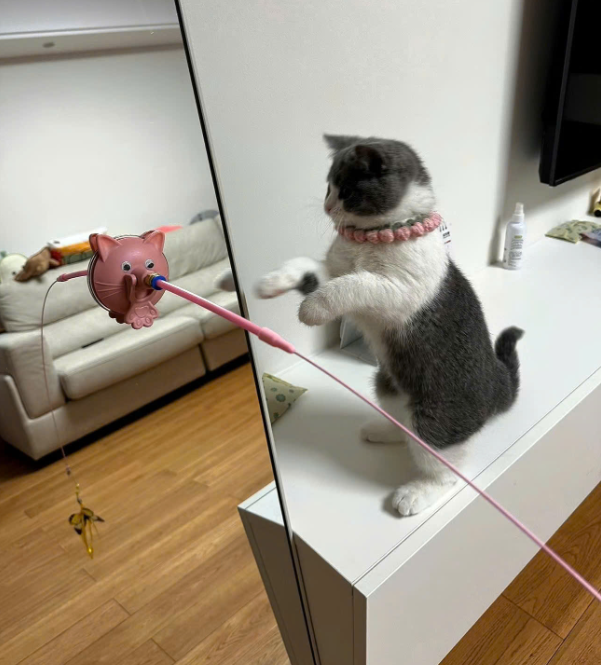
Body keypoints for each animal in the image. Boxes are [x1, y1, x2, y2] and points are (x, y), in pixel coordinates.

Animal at [257, 134, 523, 516]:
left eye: (346, 189)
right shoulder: (332, 270)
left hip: (437, 413)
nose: (327, 205)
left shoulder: (397, 291)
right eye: (327, 186)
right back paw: (386, 430)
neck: (376, 236)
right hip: (387, 383)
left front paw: (313, 308)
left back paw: (418, 492)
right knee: (405, 423)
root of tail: (496, 382)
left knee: (444, 464)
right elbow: (309, 268)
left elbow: (355, 284)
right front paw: (272, 282)